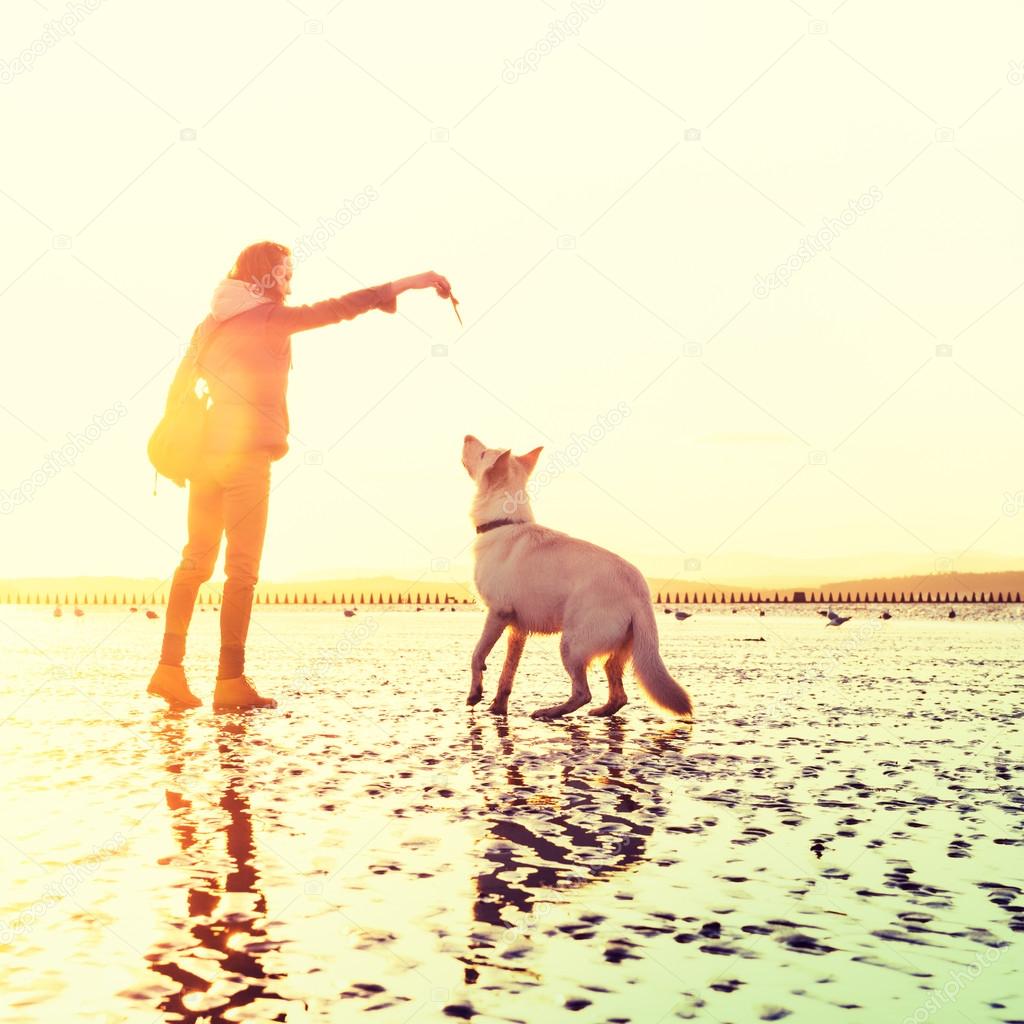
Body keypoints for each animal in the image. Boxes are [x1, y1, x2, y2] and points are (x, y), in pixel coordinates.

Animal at [464, 434, 696, 720]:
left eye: (483, 453)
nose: (467, 436)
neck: (504, 522)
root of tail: (640, 594)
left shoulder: (498, 613)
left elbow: (477, 655)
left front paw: (475, 694)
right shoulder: (517, 630)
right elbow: (507, 674)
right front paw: (498, 707)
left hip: (571, 645)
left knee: (583, 692)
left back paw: (550, 711)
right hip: (616, 650)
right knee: (618, 694)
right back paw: (601, 711)